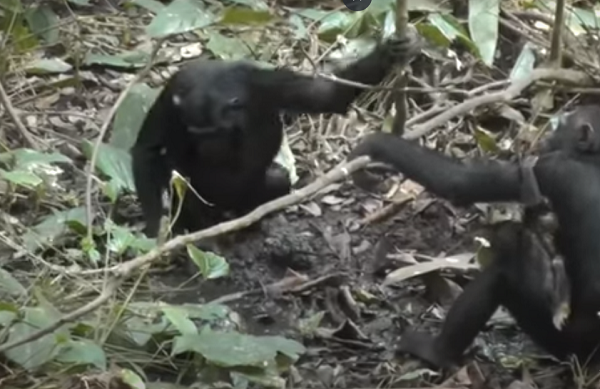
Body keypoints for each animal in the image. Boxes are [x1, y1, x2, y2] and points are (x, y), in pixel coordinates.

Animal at [131, 34, 422, 236]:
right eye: (195, 132)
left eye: (215, 132)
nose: (207, 145)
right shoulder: (172, 95)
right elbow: (148, 150)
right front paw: (154, 230)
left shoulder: (269, 84)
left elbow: (326, 96)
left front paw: (387, 54)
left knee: (277, 180)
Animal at [346, 104, 600, 366]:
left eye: (561, 125)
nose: (548, 136)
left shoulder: (551, 167)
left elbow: (457, 182)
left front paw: (375, 144)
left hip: (560, 337)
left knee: (502, 268)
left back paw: (437, 352)